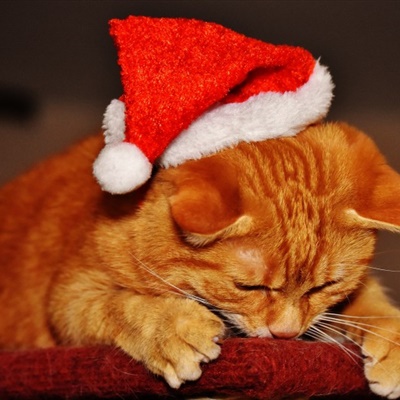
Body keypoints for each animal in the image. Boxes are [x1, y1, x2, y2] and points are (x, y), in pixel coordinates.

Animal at [0, 122, 400, 398]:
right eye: (247, 286)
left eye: (326, 286)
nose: (285, 335)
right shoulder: (71, 295)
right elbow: (121, 306)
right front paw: (173, 327)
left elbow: (372, 301)